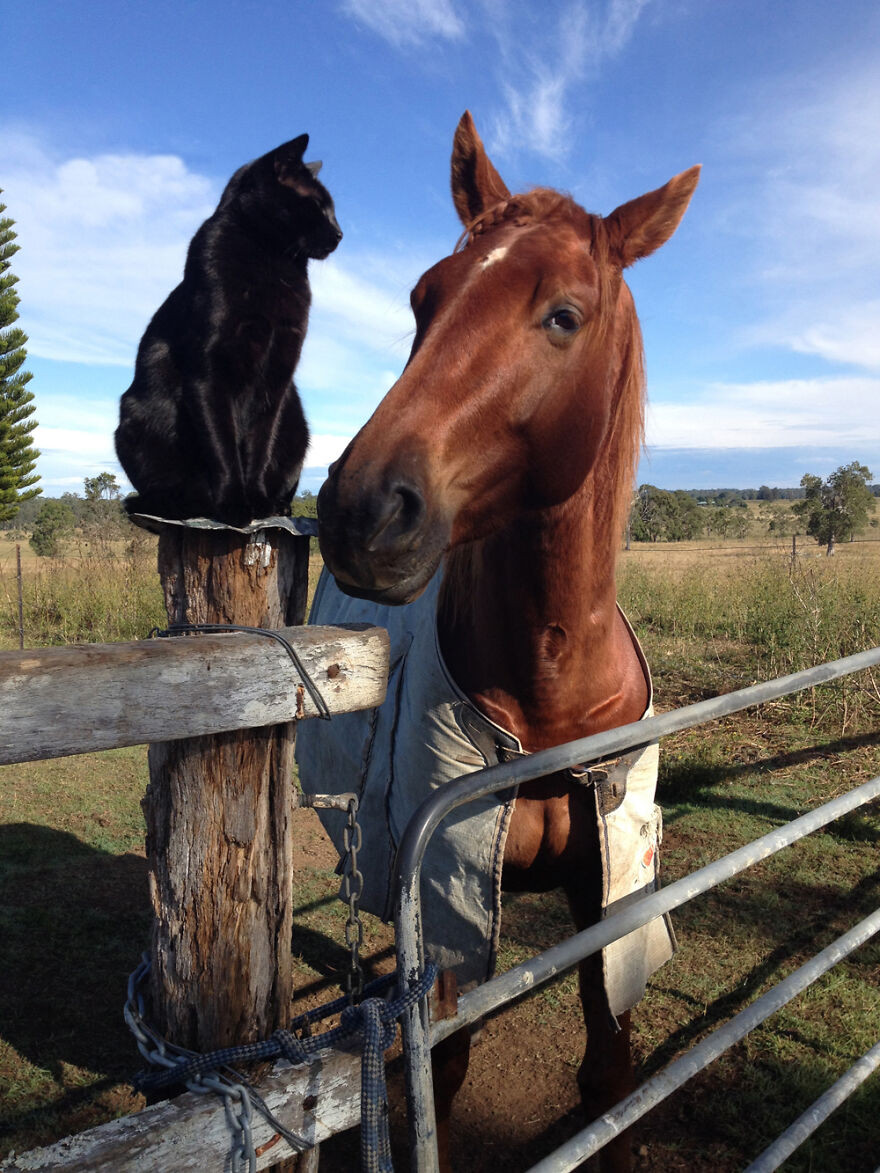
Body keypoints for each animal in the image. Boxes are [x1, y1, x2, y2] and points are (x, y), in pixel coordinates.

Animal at [113, 130, 340, 525]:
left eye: (332, 209)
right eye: (317, 205)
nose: (340, 233)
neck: (274, 261)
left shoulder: (277, 376)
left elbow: (259, 446)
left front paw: (259, 500)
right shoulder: (210, 372)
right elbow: (223, 445)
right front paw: (235, 505)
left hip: (297, 426)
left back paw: (276, 503)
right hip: (135, 417)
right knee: (161, 494)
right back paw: (185, 504)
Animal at [316, 112, 704, 1173]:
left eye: (564, 315)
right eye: (423, 298)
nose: (360, 510)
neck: (549, 699)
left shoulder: (608, 900)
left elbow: (607, 1073)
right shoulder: (447, 927)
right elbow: (438, 1083)